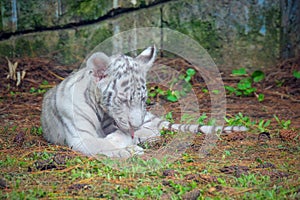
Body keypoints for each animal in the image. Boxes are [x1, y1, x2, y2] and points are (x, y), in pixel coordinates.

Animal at [41, 45, 247, 158]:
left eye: (143, 99)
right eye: (122, 100)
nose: (136, 125)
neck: (102, 111)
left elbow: (119, 136)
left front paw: (127, 142)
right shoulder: (81, 137)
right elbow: (102, 145)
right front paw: (129, 151)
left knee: (156, 130)